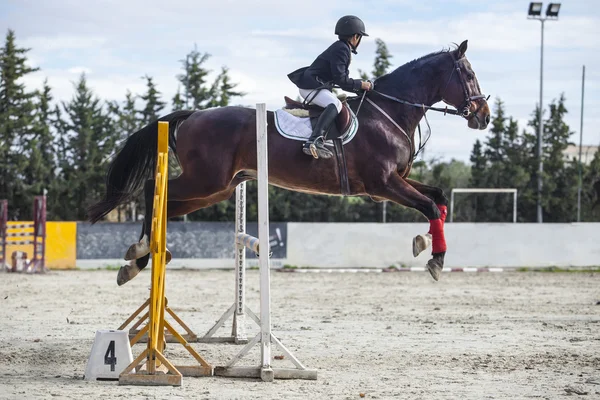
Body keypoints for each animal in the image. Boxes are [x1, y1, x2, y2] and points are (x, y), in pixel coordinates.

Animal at [90, 39, 492, 284]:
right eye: (469, 75)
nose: (484, 116)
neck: (390, 111)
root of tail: (193, 115)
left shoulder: (392, 183)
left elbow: (437, 198)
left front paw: (425, 243)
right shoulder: (383, 184)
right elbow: (430, 205)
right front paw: (435, 259)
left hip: (217, 189)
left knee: (167, 205)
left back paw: (138, 260)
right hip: (205, 180)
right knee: (151, 188)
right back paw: (141, 251)